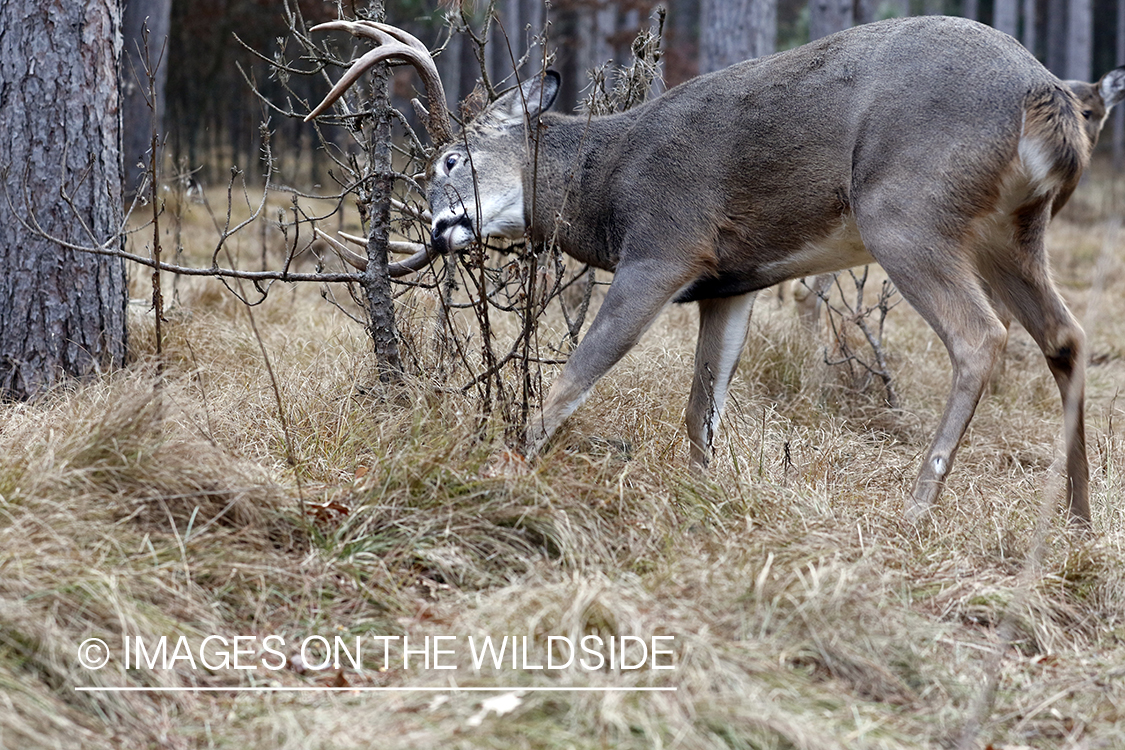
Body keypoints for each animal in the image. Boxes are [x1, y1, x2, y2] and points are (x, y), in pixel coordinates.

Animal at [308, 14, 1107, 526]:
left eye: (449, 160)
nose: (439, 232)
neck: (605, 183)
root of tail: (1043, 93)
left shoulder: (664, 245)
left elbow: (576, 376)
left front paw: (504, 470)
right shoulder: (732, 283)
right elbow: (700, 413)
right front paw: (701, 499)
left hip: (905, 208)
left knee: (980, 337)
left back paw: (915, 510)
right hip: (1011, 231)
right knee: (1065, 336)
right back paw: (1078, 518)